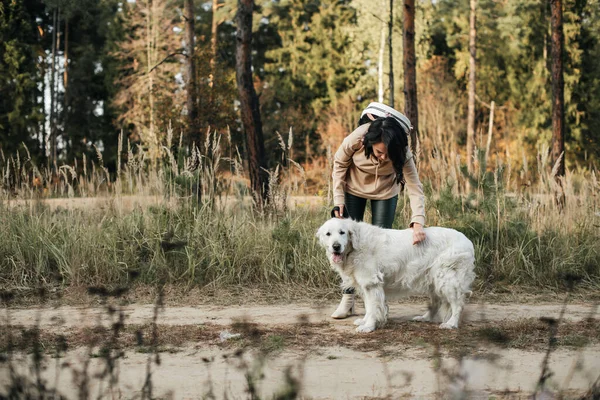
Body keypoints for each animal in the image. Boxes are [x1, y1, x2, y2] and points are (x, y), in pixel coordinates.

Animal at [316, 217, 476, 332]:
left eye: (342, 232)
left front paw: (368, 327)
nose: (336, 246)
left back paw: (451, 324)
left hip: (447, 280)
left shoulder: (371, 283)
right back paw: (425, 318)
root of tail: (467, 241)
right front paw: (365, 321)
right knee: (437, 302)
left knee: (457, 304)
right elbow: (369, 307)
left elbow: (373, 307)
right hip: (433, 279)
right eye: (328, 234)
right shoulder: (366, 285)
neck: (354, 247)